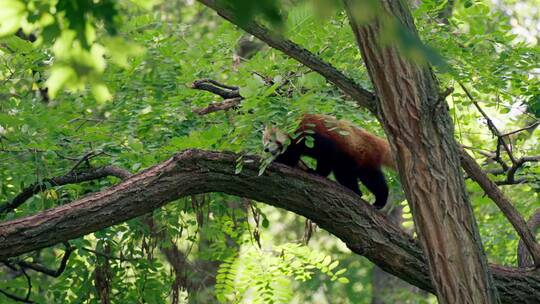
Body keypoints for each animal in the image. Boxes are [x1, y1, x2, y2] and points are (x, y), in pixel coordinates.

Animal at [264, 114, 394, 209]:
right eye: (264, 141)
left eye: (270, 140)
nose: (265, 149)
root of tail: (372, 139)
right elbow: (291, 155)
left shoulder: (309, 136)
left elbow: (327, 153)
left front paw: (317, 172)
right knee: (345, 175)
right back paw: (355, 191)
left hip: (364, 157)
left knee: (372, 179)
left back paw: (380, 200)